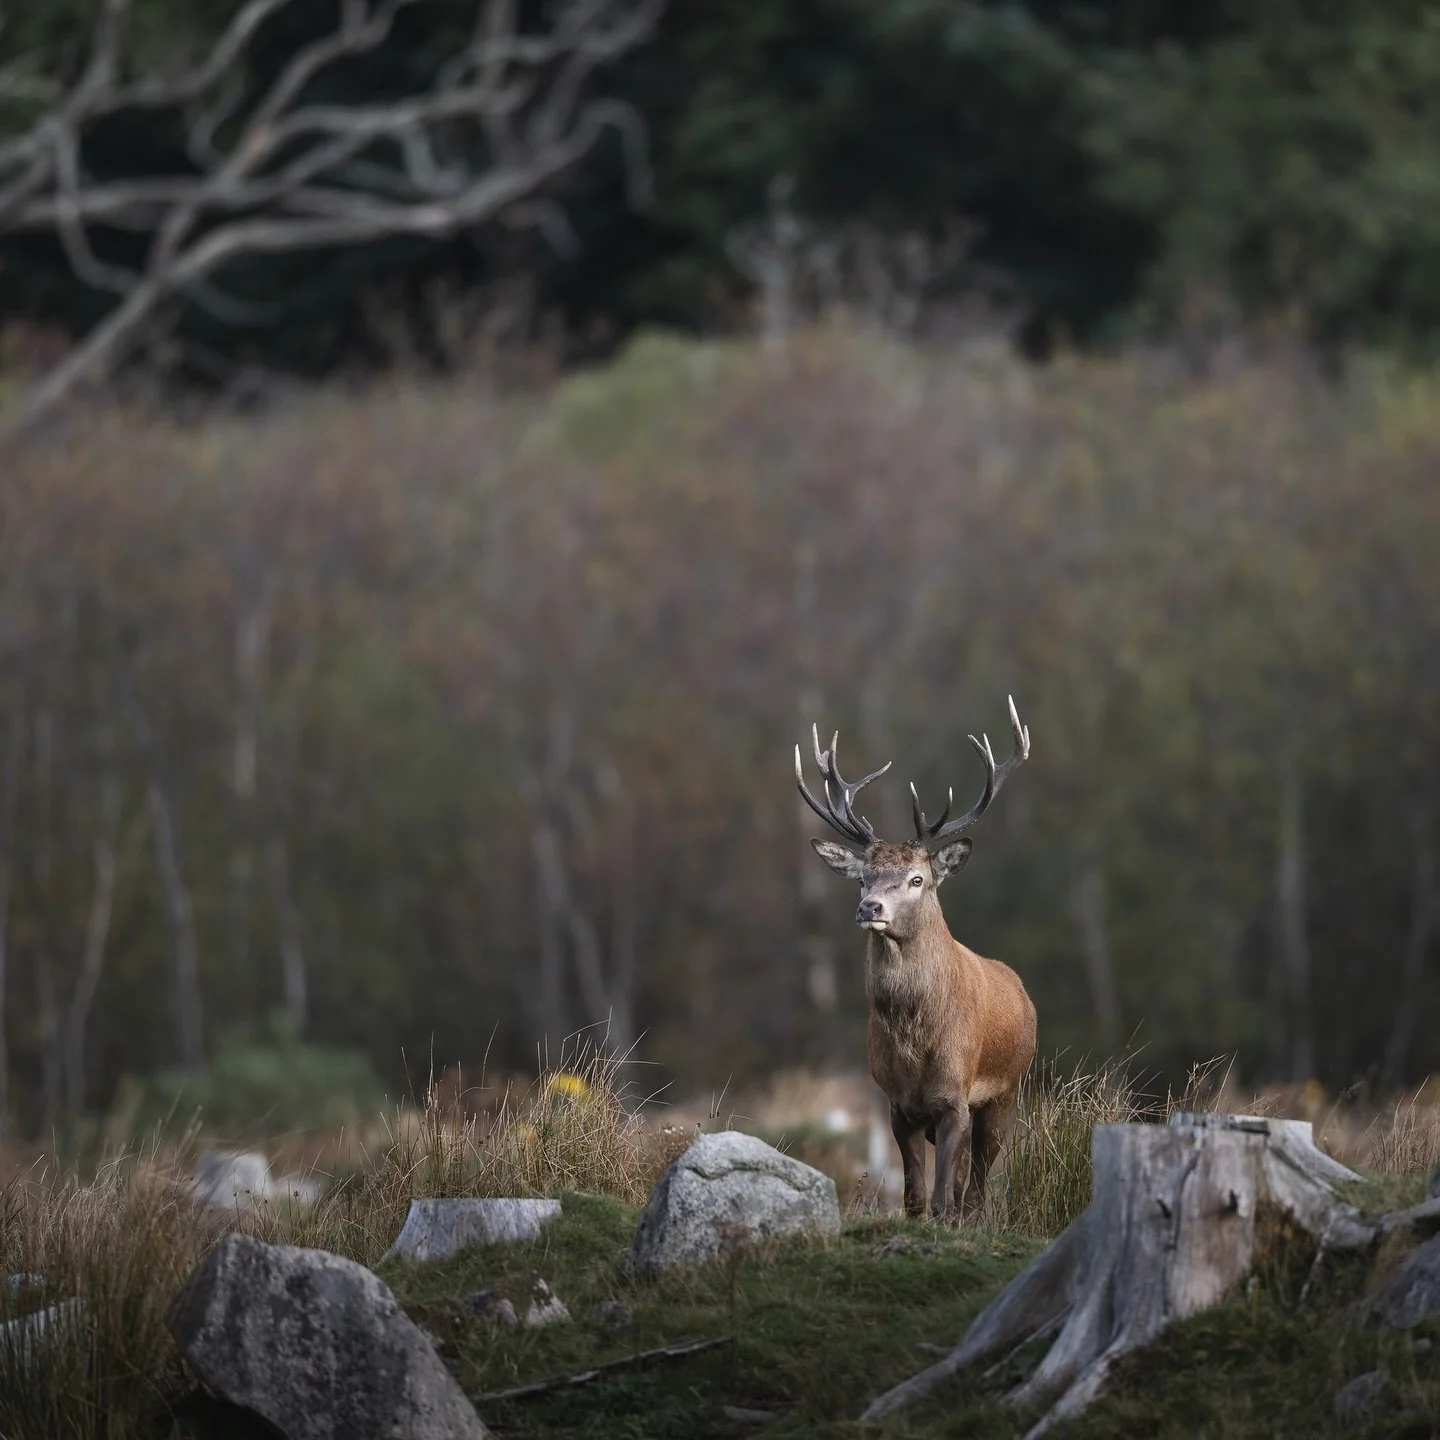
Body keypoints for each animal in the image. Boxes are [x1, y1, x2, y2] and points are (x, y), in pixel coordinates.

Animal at [795, 697, 1036, 1223]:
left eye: (917, 879)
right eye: (862, 877)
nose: (870, 908)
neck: (915, 1041)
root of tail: (1022, 992)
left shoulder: (954, 1097)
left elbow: (944, 1199)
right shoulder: (896, 1105)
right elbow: (913, 1198)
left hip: (1006, 1092)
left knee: (977, 1187)